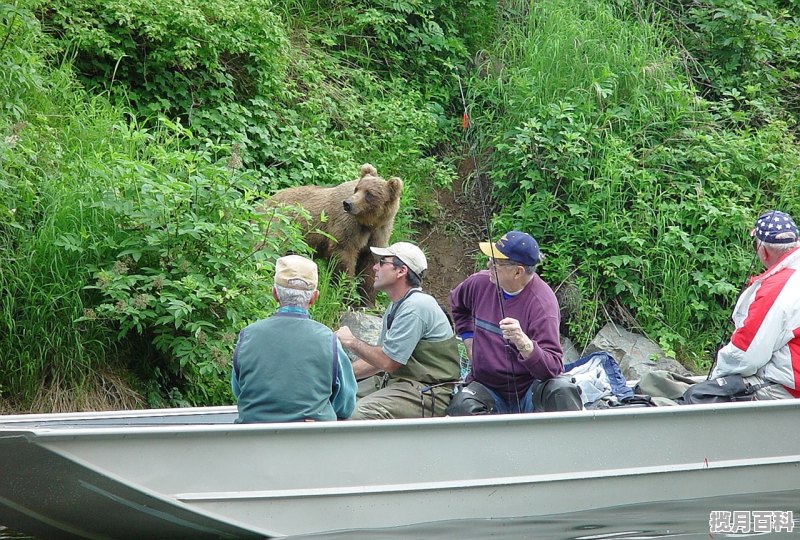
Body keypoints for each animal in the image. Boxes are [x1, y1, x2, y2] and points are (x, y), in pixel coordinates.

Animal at [264, 163, 400, 304]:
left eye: (369, 194)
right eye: (357, 189)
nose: (348, 203)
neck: (368, 223)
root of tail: (266, 200)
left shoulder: (379, 233)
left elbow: (370, 265)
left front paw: (367, 301)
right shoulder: (348, 227)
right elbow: (344, 257)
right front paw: (347, 295)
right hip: (279, 225)